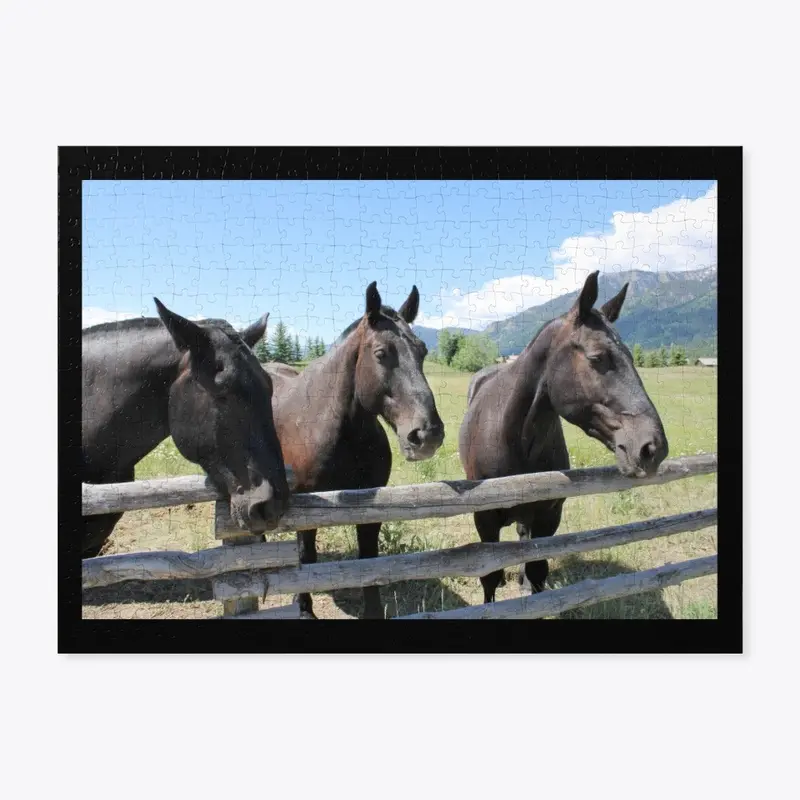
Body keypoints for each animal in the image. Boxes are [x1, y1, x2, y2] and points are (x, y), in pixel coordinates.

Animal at [268, 282, 444, 620]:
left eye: (423, 351)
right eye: (381, 353)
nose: (427, 434)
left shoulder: (369, 506)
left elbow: (368, 560)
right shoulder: (304, 509)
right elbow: (305, 558)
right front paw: (304, 608)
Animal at [456, 272, 668, 604]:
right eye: (597, 357)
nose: (652, 447)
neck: (513, 438)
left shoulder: (548, 516)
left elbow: (537, 570)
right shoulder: (485, 520)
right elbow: (488, 576)